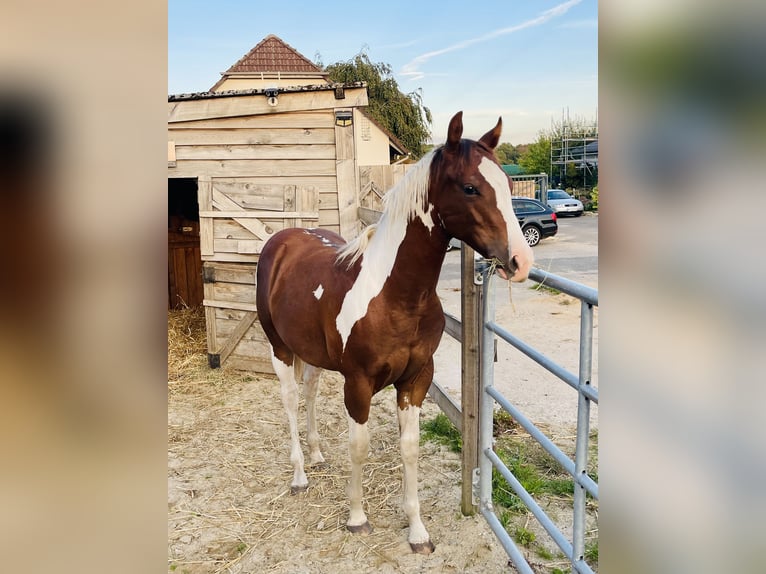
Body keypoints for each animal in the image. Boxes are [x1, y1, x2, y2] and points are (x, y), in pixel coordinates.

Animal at [255, 111, 534, 554]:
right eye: (470, 187)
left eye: (508, 184)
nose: (521, 261)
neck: (395, 295)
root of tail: (281, 241)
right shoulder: (358, 383)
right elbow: (359, 447)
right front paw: (357, 519)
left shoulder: (416, 379)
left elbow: (410, 448)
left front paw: (418, 531)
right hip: (280, 348)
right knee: (291, 400)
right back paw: (300, 475)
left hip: (312, 354)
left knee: (311, 391)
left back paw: (316, 455)